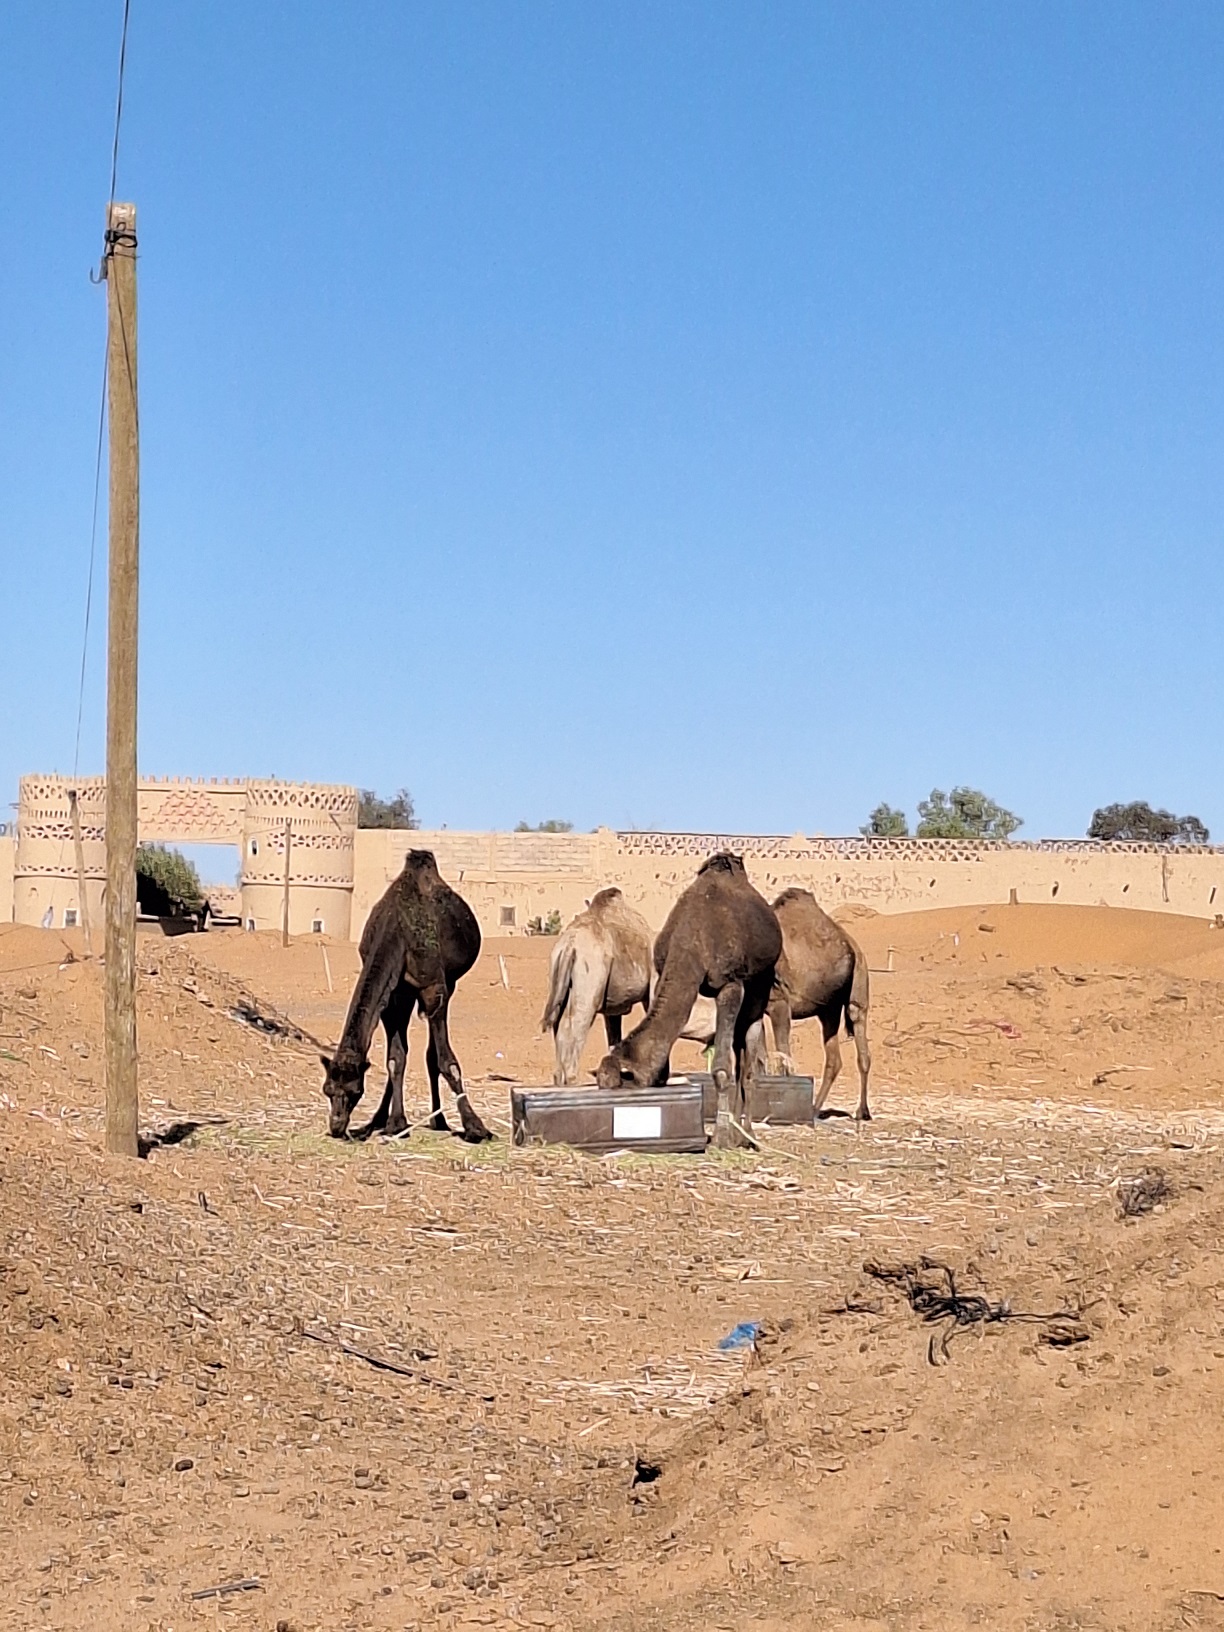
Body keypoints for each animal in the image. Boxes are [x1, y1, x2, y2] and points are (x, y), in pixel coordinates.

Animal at [320, 851, 491, 1142]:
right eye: (328, 1090)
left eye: (355, 1091)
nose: (337, 1126)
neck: (396, 929)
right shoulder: (394, 996)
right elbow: (395, 1059)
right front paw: (393, 1123)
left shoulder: (433, 988)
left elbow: (445, 1061)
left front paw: (475, 1127)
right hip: (409, 993)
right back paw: (392, 1120)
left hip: (448, 983)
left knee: (433, 1054)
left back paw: (440, 1120)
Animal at [540, 889, 653, 1084]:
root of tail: (569, 946)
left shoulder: (613, 1008)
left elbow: (614, 1039)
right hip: (589, 986)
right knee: (575, 1028)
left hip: (560, 981)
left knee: (559, 1027)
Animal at [595, 852, 781, 1149]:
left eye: (623, 1082)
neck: (691, 941)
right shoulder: (662, 972)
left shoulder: (730, 984)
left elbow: (721, 1069)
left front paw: (720, 1139)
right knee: (741, 1054)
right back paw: (739, 1133)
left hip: (760, 980)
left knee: (750, 1057)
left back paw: (747, 1135)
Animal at [678, 887, 872, 1120]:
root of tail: (852, 944)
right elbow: (759, 1059)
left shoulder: (779, 1003)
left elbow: (782, 1056)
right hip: (829, 1009)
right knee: (834, 1058)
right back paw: (815, 1109)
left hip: (858, 985)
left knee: (861, 1046)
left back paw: (862, 1111)